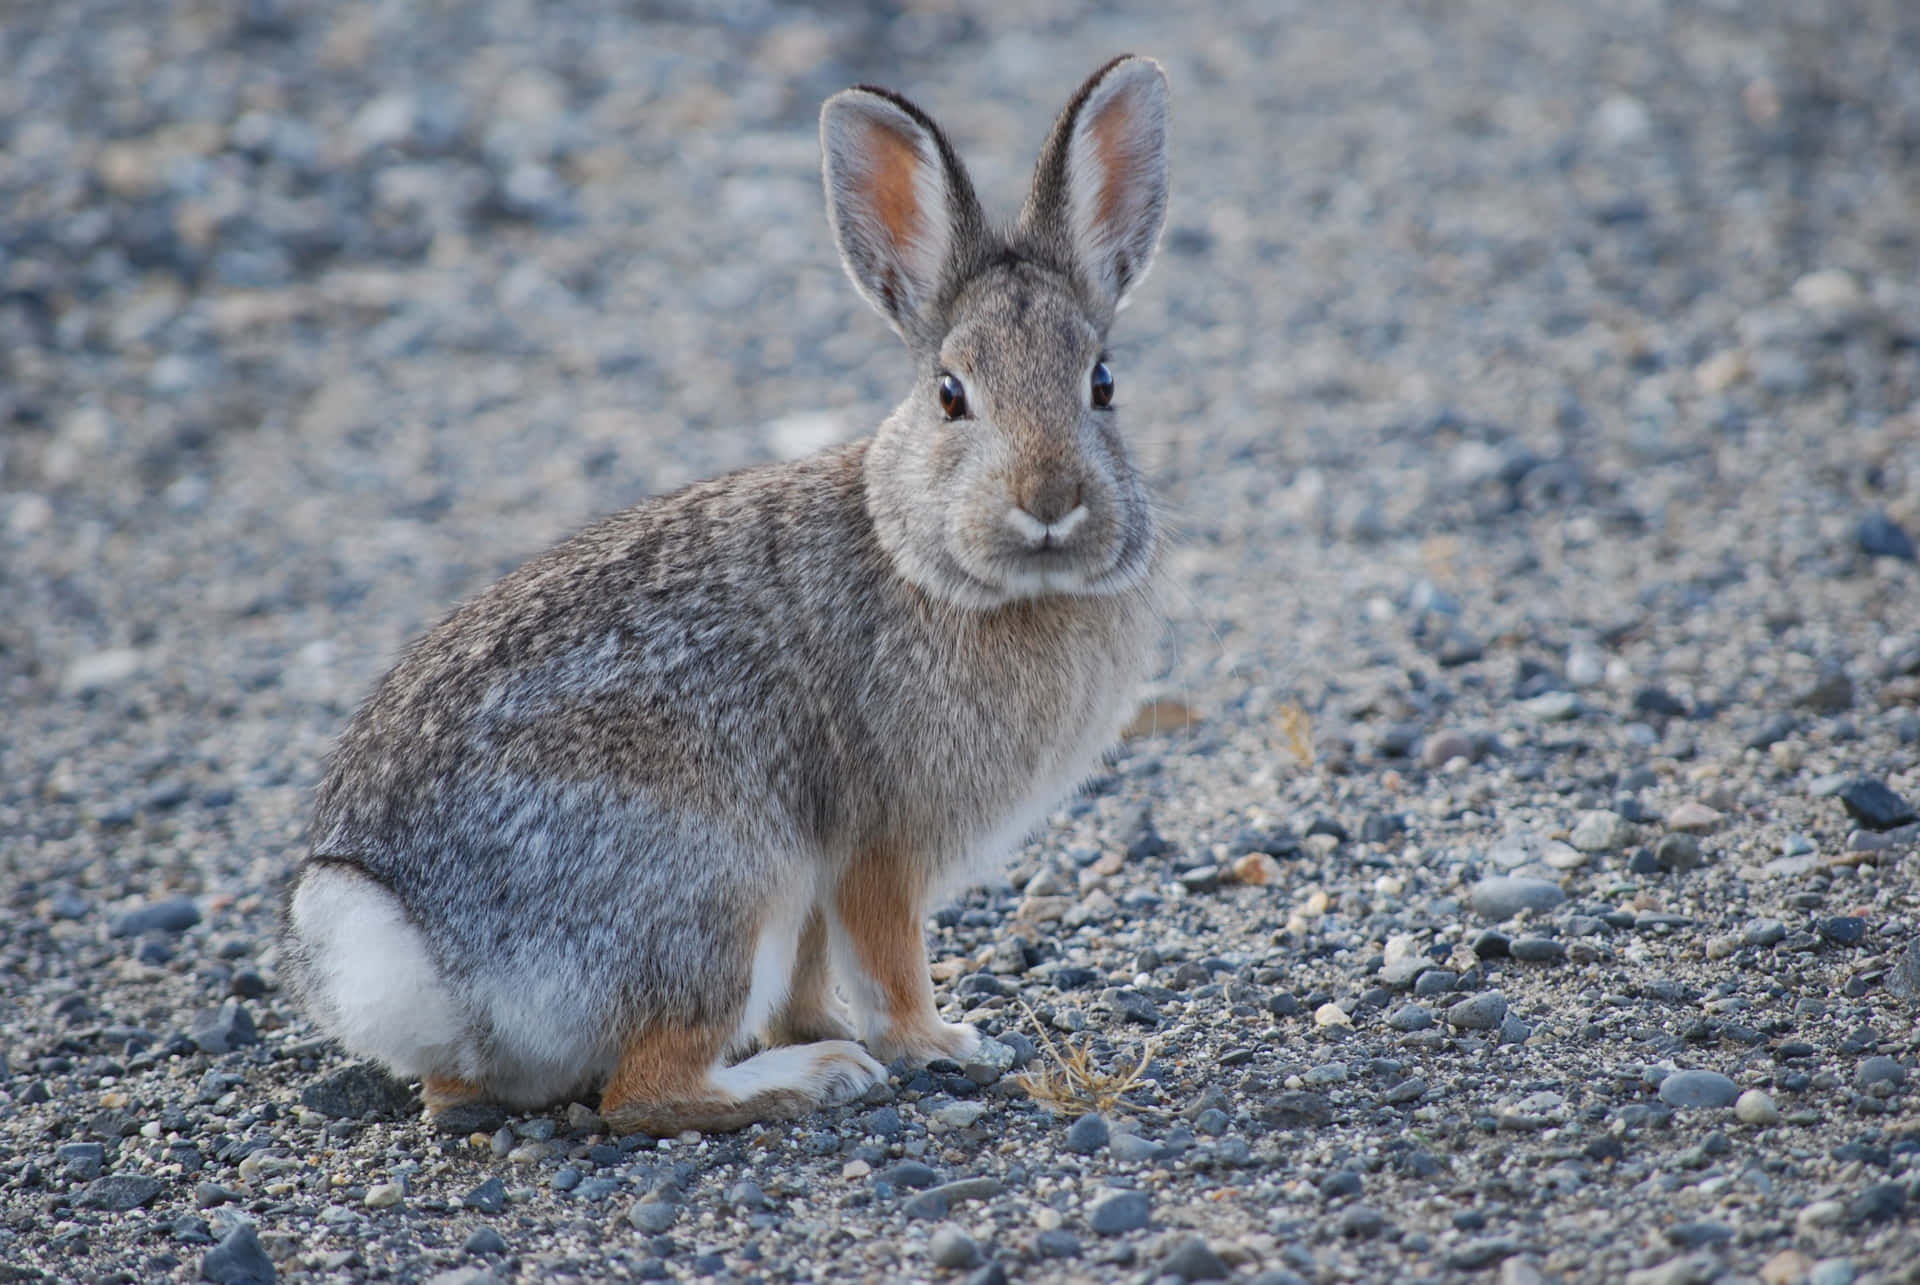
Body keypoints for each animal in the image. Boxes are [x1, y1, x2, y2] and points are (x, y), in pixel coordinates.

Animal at [282, 57, 1167, 1129]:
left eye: (1104, 383)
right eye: (952, 394)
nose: (1049, 501)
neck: (931, 558)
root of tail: (421, 951)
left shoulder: (825, 882)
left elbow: (814, 974)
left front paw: (829, 1024)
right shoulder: (877, 842)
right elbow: (889, 958)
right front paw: (939, 1042)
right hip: (722, 883)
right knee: (645, 1089)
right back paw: (815, 1077)